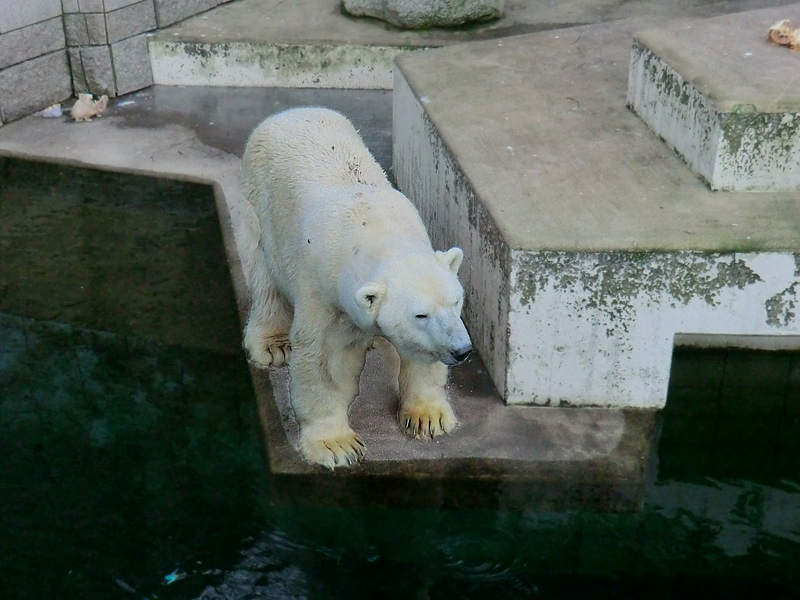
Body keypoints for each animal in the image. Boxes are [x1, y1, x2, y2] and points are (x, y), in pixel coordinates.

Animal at [241, 109, 472, 468]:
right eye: (420, 314)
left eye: (456, 301)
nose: (462, 351)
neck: (375, 229)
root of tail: (289, 113)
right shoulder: (324, 291)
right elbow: (325, 359)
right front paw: (336, 444)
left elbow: (419, 353)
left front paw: (427, 416)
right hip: (261, 209)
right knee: (265, 275)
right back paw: (273, 343)